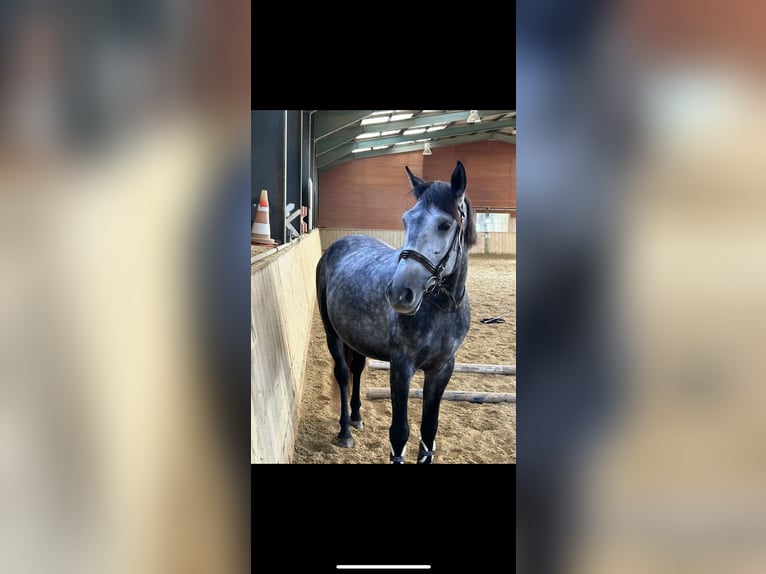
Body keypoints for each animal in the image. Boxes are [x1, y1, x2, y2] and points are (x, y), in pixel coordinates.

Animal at [315, 160, 477, 463]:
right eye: (406, 220)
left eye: (445, 224)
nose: (400, 293)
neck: (441, 309)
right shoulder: (402, 366)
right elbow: (399, 433)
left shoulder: (442, 369)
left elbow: (429, 432)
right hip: (333, 335)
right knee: (343, 374)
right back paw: (345, 431)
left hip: (358, 340)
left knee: (357, 369)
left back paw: (356, 416)